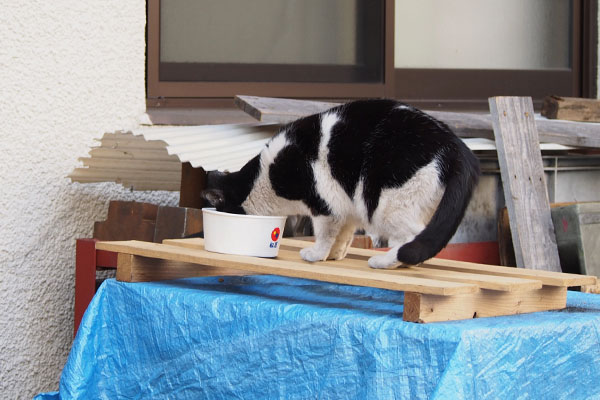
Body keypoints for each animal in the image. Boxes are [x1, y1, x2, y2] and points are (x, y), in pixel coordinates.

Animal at [204, 99, 480, 270]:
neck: (265, 178)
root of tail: (457, 147)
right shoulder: (347, 207)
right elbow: (343, 235)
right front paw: (334, 255)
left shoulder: (324, 204)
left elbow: (325, 234)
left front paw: (316, 255)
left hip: (387, 202)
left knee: (412, 235)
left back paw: (385, 262)